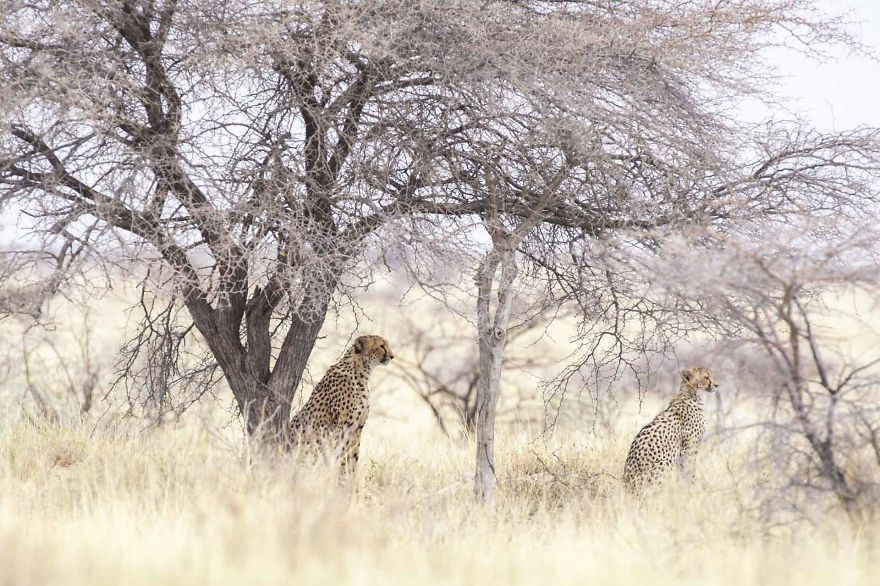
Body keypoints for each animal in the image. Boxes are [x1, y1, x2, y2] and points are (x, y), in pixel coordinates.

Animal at [286, 334, 393, 474]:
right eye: (381, 346)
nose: (392, 356)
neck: (361, 372)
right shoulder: (341, 427)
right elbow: (340, 456)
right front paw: (339, 475)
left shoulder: (357, 428)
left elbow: (352, 457)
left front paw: (351, 477)